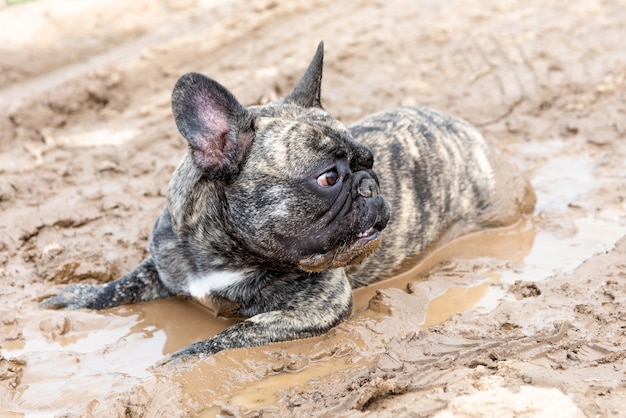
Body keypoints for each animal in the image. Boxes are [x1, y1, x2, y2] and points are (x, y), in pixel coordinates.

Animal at [41, 43, 532, 362]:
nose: (370, 185)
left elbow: (237, 332)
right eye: (328, 178)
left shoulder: (321, 304)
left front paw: (182, 357)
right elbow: (122, 284)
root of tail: (475, 135)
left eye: (370, 161)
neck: (222, 252)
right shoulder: (163, 263)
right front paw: (79, 296)